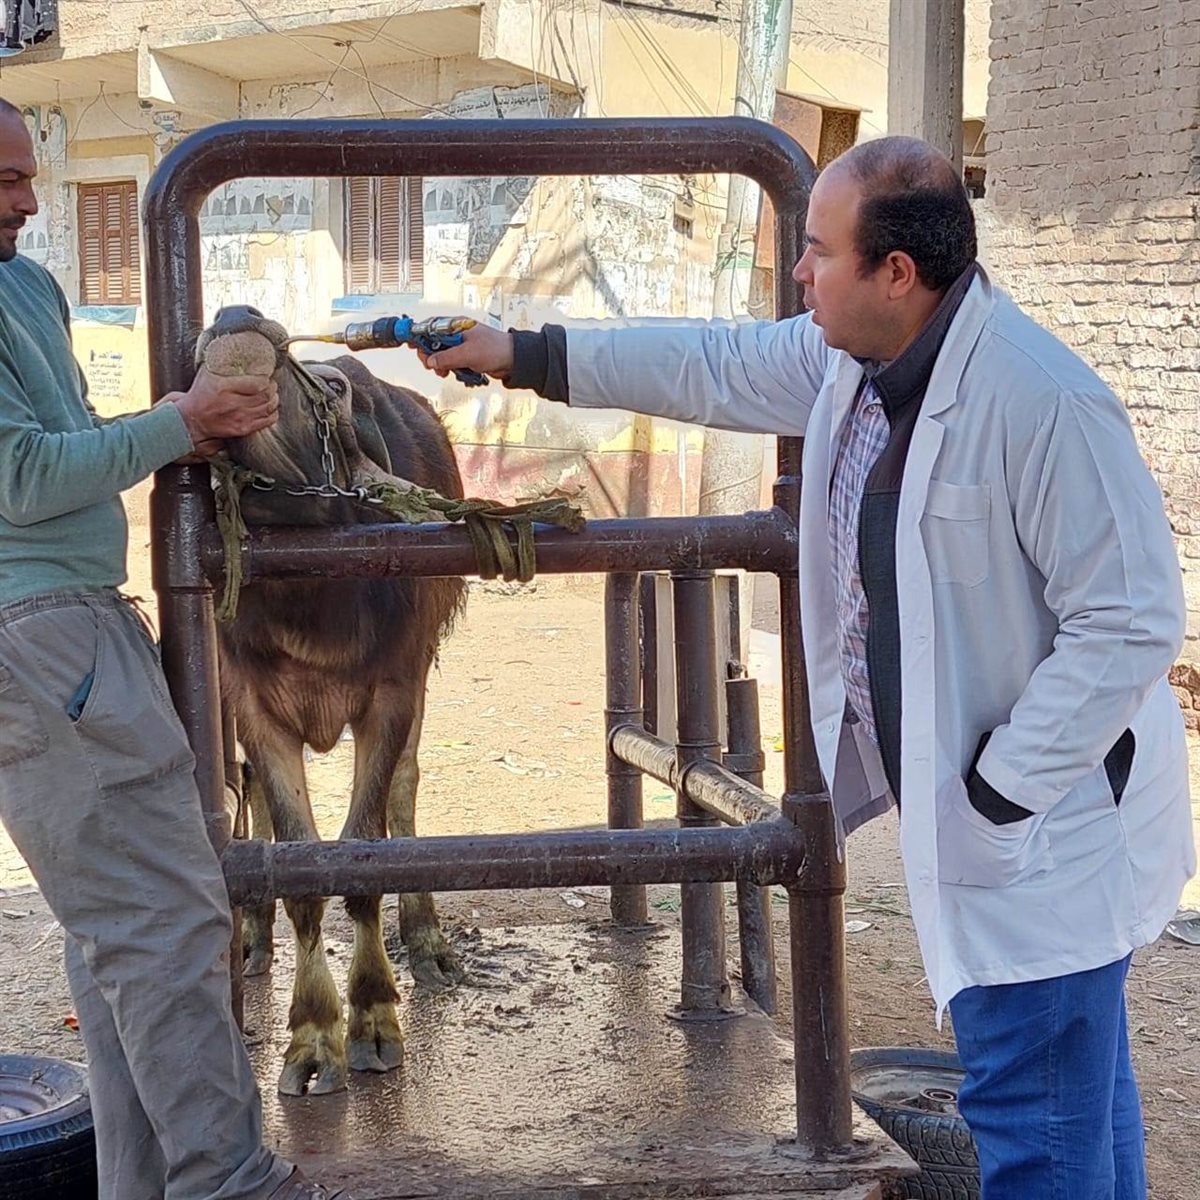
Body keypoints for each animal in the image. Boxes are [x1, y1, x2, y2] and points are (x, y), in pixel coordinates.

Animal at [195, 305, 466, 1096]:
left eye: (337, 390)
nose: (235, 316)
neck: (311, 597)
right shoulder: (253, 707)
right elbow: (301, 865)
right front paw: (314, 1037)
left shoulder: (392, 696)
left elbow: (361, 856)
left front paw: (373, 1018)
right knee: (246, 794)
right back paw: (252, 936)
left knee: (405, 788)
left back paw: (427, 939)